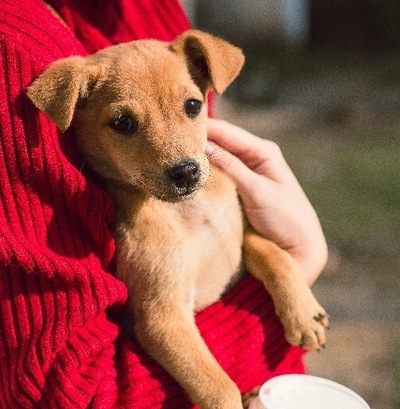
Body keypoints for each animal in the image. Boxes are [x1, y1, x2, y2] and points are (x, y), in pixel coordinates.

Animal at [27, 31, 328, 408]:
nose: (186, 172)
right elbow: (218, 386)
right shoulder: (163, 317)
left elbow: (277, 256)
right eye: (122, 123)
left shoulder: (241, 237)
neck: (189, 213)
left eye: (193, 106)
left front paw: (304, 315)